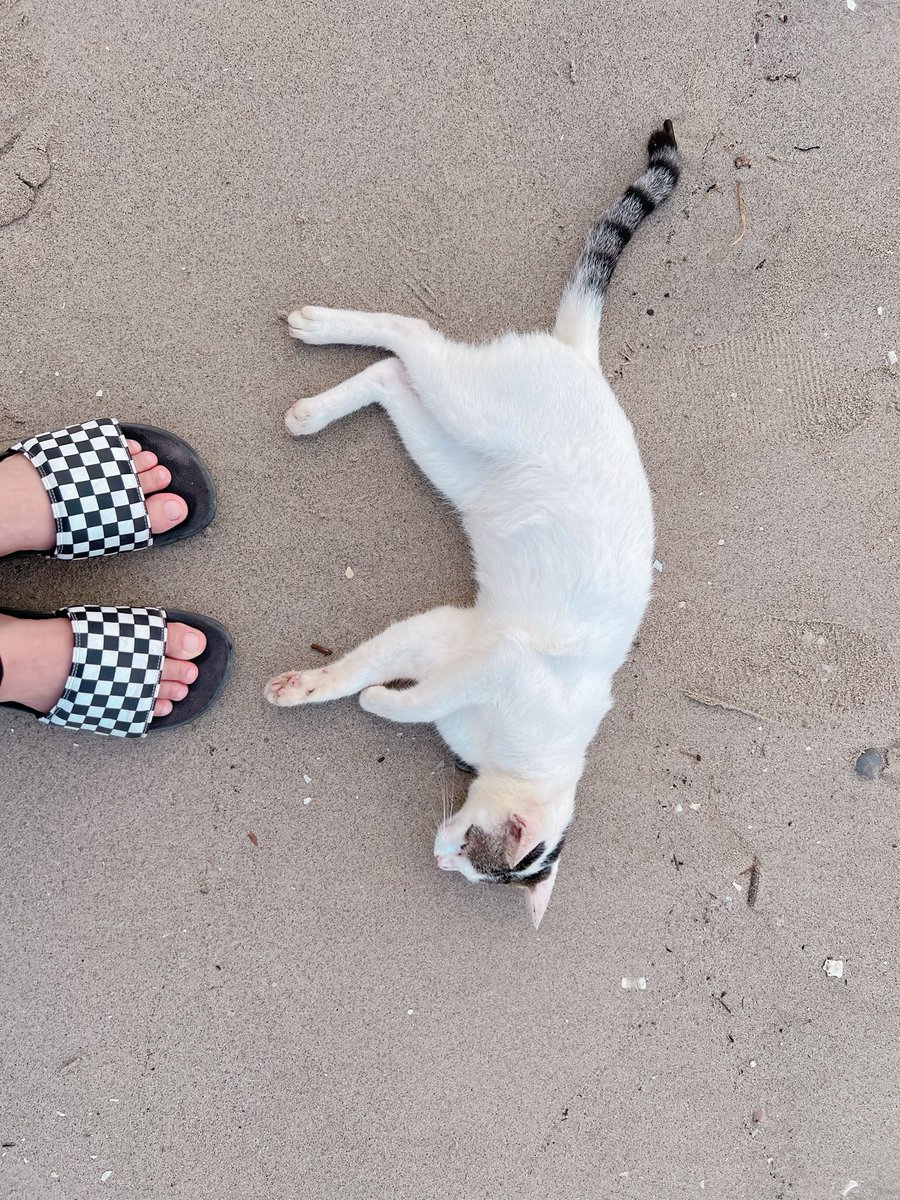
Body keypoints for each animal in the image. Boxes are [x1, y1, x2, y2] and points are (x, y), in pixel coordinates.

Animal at [267, 121, 681, 926]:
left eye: (464, 864)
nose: (437, 857)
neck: (509, 755)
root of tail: (583, 360)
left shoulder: (446, 631)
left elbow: (361, 667)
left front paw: (319, 687)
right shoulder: (499, 662)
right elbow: (408, 699)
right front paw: (381, 700)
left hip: (455, 460)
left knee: (394, 378)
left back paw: (313, 411)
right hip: (476, 411)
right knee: (412, 335)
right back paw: (322, 325)